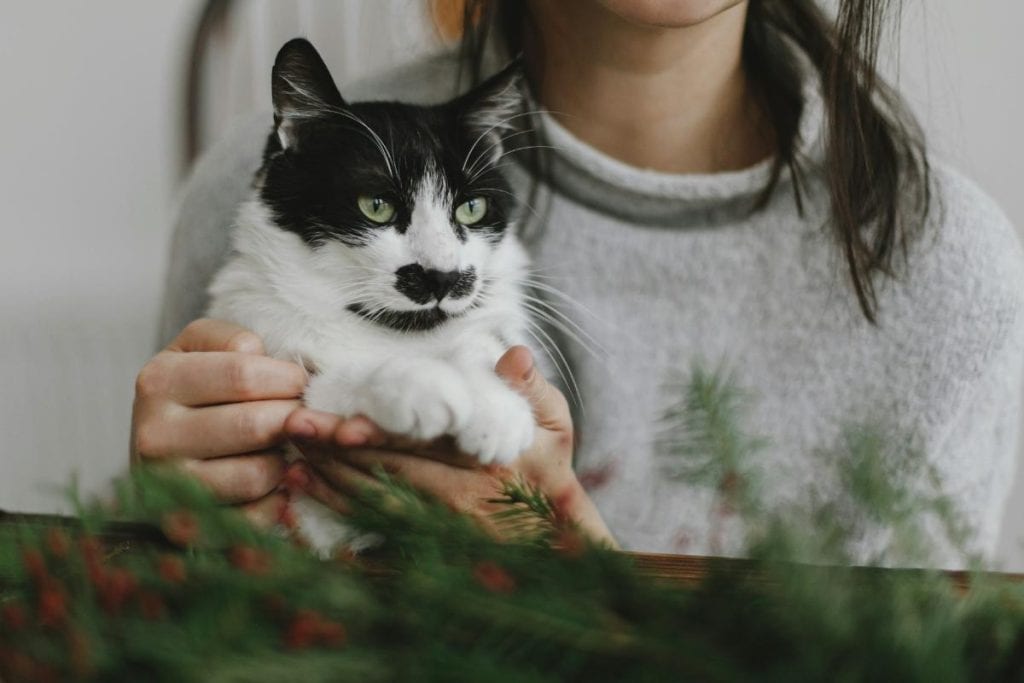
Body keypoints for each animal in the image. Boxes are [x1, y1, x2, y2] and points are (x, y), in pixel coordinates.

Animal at [206, 38, 536, 548]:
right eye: (376, 206)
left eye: (472, 208)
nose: (441, 277)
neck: (382, 330)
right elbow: (333, 382)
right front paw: (424, 386)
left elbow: (478, 346)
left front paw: (497, 408)